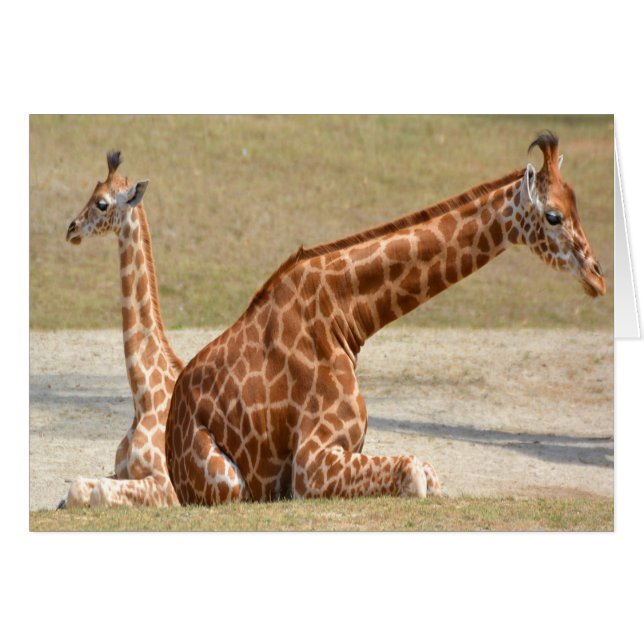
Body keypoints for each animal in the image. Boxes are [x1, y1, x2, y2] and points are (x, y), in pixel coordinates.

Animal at [59, 152, 246, 507]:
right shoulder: (119, 471)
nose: (71, 229)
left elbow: (98, 492)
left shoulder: (167, 486)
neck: (142, 396)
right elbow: (76, 488)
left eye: (102, 203)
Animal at [164, 132, 606, 504]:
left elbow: (428, 473)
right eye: (553, 216)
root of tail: (169, 439)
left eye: (577, 208)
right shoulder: (309, 463)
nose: (598, 277)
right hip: (227, 482)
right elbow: (415, 473)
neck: (343, 315)